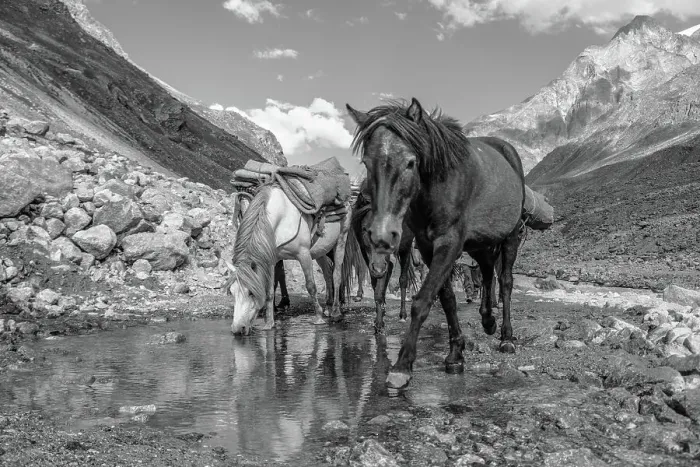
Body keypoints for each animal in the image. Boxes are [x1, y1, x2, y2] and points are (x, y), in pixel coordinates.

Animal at [227, 184, 361, 335]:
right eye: (232, 292)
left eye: (250, 292)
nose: (237, 329)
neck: (280, 219)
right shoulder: (271, 261)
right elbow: (270, 291)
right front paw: (269, 324)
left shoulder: (303, 254)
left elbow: (311, 286)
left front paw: (318, 318)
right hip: (320, 251)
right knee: (327, 274)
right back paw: (328, 307)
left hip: (341, 239)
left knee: (336, 275)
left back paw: (336, 312)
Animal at [348, 179, 417, 334]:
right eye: (364, 229)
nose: (379, 268)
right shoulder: (366, 255)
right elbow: (376, 288)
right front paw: (378, 319)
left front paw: (379, 324)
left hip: (405, 247)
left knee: (402, 279)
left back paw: (403, 314)